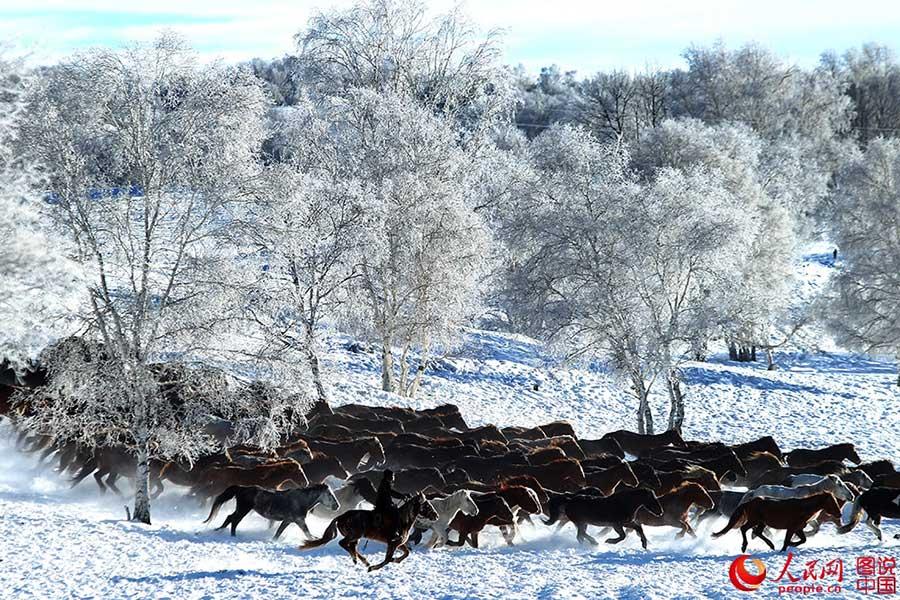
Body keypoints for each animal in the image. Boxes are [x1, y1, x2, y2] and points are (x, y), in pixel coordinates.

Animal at [204, 482, 342, 540]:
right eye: (330, 494)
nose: (337, 506)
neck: (301, 500)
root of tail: (242, 488)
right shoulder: (298, 520)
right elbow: (307, 533)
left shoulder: (288, 520)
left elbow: (278, 532)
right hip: (243, 510)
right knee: (234, 520)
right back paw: (233, 536)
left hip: (241, 509)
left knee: (230, 518)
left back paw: (220, 531)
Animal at [302, 492, 440, 572]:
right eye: (427, 505)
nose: (436, 515)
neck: (402, 520)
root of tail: (341, 517)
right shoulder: (393, 543)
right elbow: (387, 559)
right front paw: (373, 568)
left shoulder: (399, 543)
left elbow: (406, 553)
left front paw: (396, 560)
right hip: (354, 535)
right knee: (343, 544)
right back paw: (358, 560)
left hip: (355, 537)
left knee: (352, 547)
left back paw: (362, 560)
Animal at [712, 492, 844, 552]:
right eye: (832, 502)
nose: (840, 514)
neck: (803, 508)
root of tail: (749, 502)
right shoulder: (791, 528)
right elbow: (787, 540)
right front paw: (785, 548)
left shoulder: (798, 528)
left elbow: (803, 540)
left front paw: (791, 544)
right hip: (754, 520)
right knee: (744, 529)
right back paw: (744, 546)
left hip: (762, 522)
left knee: (758, 532)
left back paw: (771, 545)